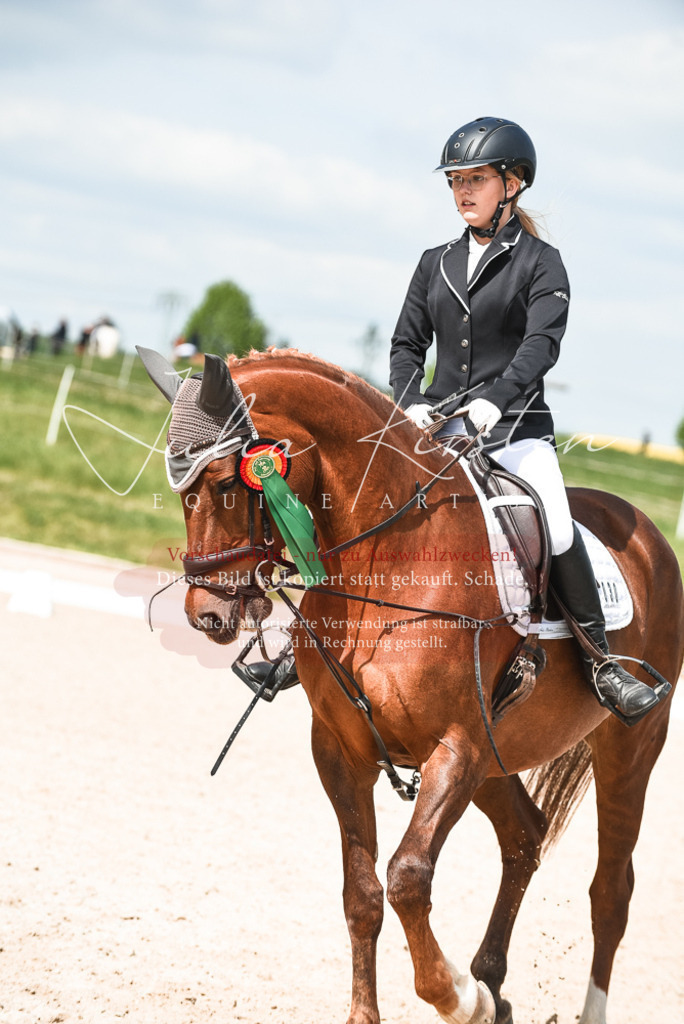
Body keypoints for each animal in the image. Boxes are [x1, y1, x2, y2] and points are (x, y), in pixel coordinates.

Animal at [139, 346, 683, 1024]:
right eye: (181, 490)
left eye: (224, 484)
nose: (207, 616)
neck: (392, 557)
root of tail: (647, 531)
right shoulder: (343, 751)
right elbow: (363, 892)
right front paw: (411, 1006)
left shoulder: (456, 750)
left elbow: (406, 877)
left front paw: (458, 997)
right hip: (502, 758)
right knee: (525, 838)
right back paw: (492, 983)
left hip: (628, 749)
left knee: (611, 891)